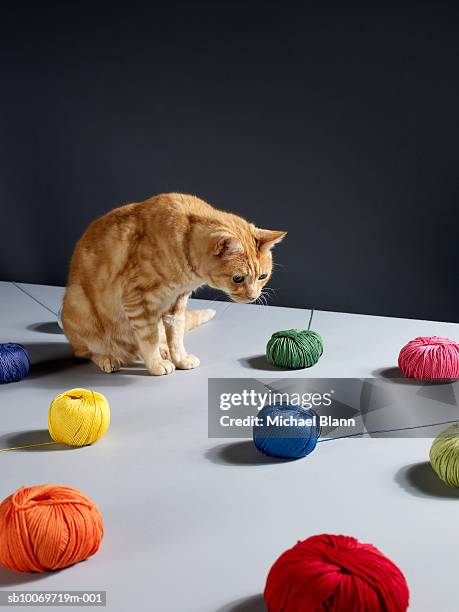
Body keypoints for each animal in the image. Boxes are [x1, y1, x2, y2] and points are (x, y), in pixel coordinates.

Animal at [63, 192, 286, 372]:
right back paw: (109, 358)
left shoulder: (176, 303)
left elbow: (176, 336)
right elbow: (149, 338)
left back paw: (163, 351)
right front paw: (155, 365)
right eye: (238, 278)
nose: (253, 297)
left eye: (262, 276)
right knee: (88, 352)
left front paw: (179, 358)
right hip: (78, 303)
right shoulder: (136, 300)